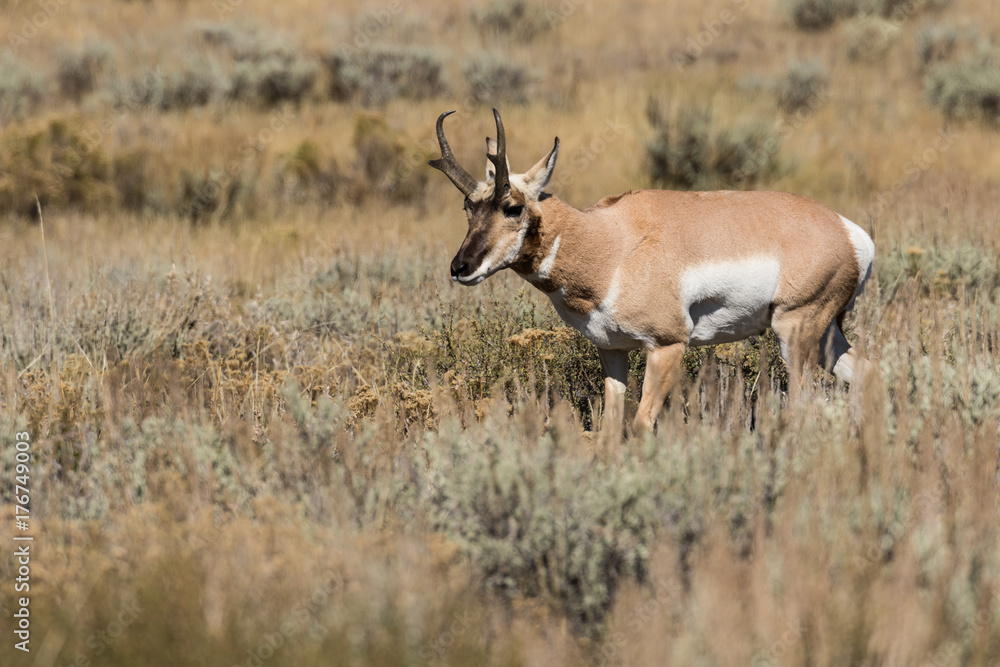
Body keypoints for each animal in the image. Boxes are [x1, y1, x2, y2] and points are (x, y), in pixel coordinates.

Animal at [429, 109, 874, 435]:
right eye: (469, 206)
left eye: (513, 207)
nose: (460, 268)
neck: (610, 242)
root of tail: (848, 230)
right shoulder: (612, 351)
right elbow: (609, 430)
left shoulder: (667, 346)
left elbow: (641, 425)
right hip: (826, 333)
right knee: (869, 373)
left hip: (794, 331)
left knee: (804, 403)